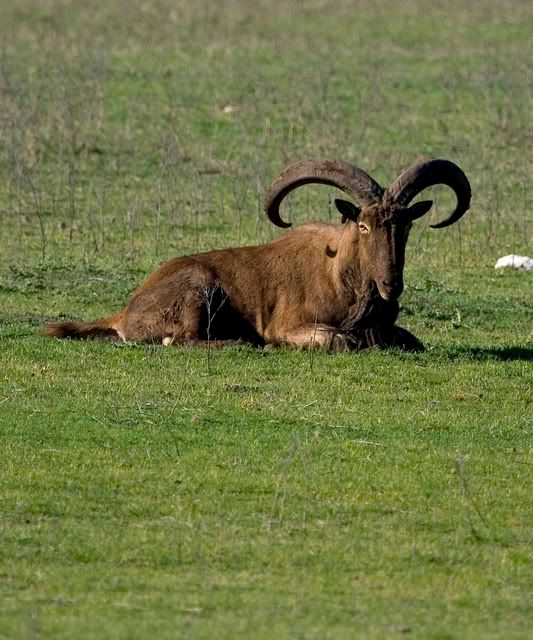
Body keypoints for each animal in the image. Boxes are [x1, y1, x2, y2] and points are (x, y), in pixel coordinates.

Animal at [43, 158, 472, 352]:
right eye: (363, 226)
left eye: (405, 226)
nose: (390, 285)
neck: (341, 278)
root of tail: (127, 311)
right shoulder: (291, 324)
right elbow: (339, 341)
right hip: (198, 289)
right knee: (178, 340)